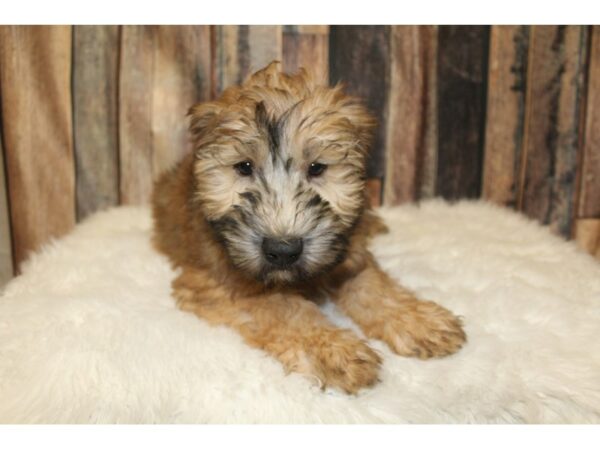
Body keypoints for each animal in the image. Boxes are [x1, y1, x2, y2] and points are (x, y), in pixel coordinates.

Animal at [151, 60, 464, 394]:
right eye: (244, 167)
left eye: (317, 168)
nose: (282, 250)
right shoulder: (219, 282)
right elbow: (285, 310)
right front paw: (334, 350)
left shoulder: (348, 256)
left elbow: (373, 286)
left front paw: (419, 320)